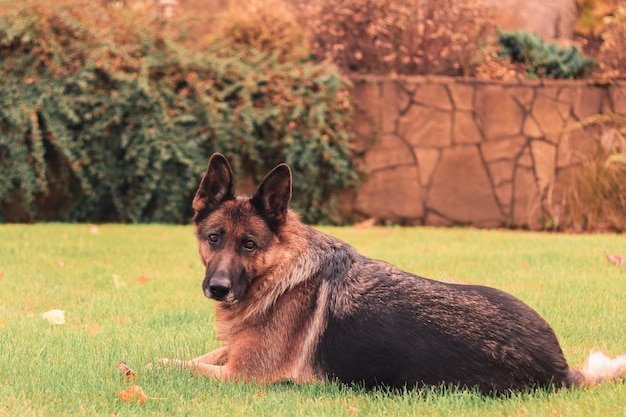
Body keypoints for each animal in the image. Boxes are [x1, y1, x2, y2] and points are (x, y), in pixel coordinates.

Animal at [162, 153, 624, 394]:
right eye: (214, 238)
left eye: (249, 245)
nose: (217, 288)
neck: (280, 271)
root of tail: (560, 366)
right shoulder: (235, 353)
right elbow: (205, 353)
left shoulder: (244, 376)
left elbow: (179, 366)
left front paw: (152, 363)